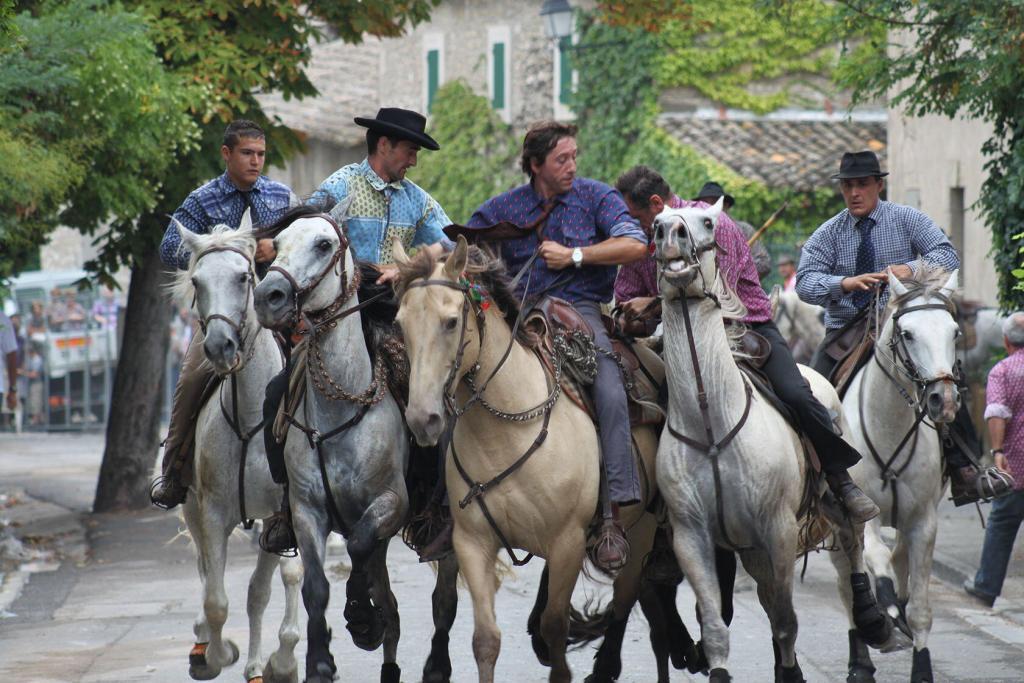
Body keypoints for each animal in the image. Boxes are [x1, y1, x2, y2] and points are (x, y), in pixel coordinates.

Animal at [167, 218, 301, 683]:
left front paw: (282, 661)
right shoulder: (210, 512)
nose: (220, 347)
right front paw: (216, 654)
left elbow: (281, 580)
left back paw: (263, 665)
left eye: (244, 277)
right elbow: (216, 598)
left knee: (260, 590)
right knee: (208, 573)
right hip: (193, 508)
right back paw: (207, 645)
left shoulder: (283, 515)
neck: (249, 418)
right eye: (197, 281)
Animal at [393, 236, 663, 683]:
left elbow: (556, 627)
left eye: (451, 321)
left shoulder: (568, 541)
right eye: (400, 323)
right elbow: (485, 639)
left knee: (625, 603)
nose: (422, 419)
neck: (508, 427)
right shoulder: (472, 542)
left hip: (641, 533)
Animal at [651, 201, 892, 683]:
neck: (711, 424)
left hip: (831, 501)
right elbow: (716, 627)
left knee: (853, 538)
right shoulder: (693, 537)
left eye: (708, 222)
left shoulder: (776, 532)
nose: (669, 234)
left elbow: (784, 623)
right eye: (656, 223)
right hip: (750, 550)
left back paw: (872, 617)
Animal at [835, 266, 962, 683]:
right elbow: (877, 563)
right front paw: (886, 616)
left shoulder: (923, 521)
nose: (944, 400)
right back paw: (861, 660)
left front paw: (921, 667)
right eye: (907, 334)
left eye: (955, 331)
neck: (888, 425)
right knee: (849, 585)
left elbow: (920, 607)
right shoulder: (863, 518)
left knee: (900, 558)